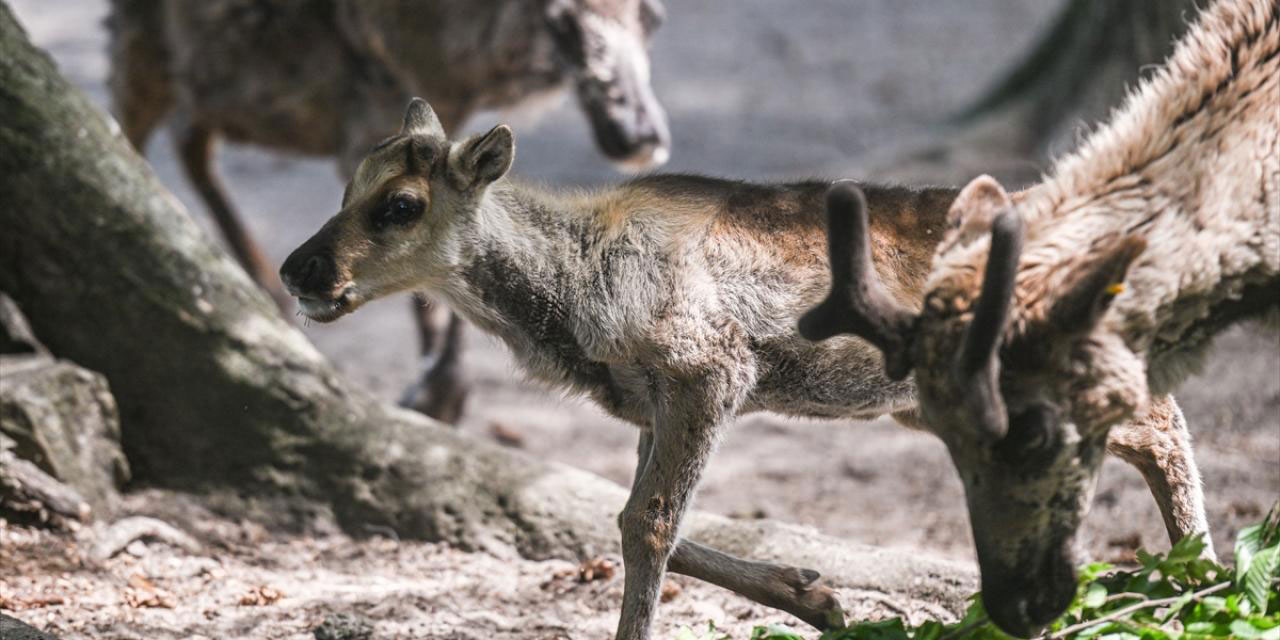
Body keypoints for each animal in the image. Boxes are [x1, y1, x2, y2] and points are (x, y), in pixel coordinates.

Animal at [285, 98, 1213, 640]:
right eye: (345, 186)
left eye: (401, 204)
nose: (300, 271)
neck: (577, 305)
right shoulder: (653, 402)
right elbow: (646, 519)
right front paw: (821, 597)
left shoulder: (709, 370)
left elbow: (646, 523)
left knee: (1160, 420)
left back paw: (1199, 580)